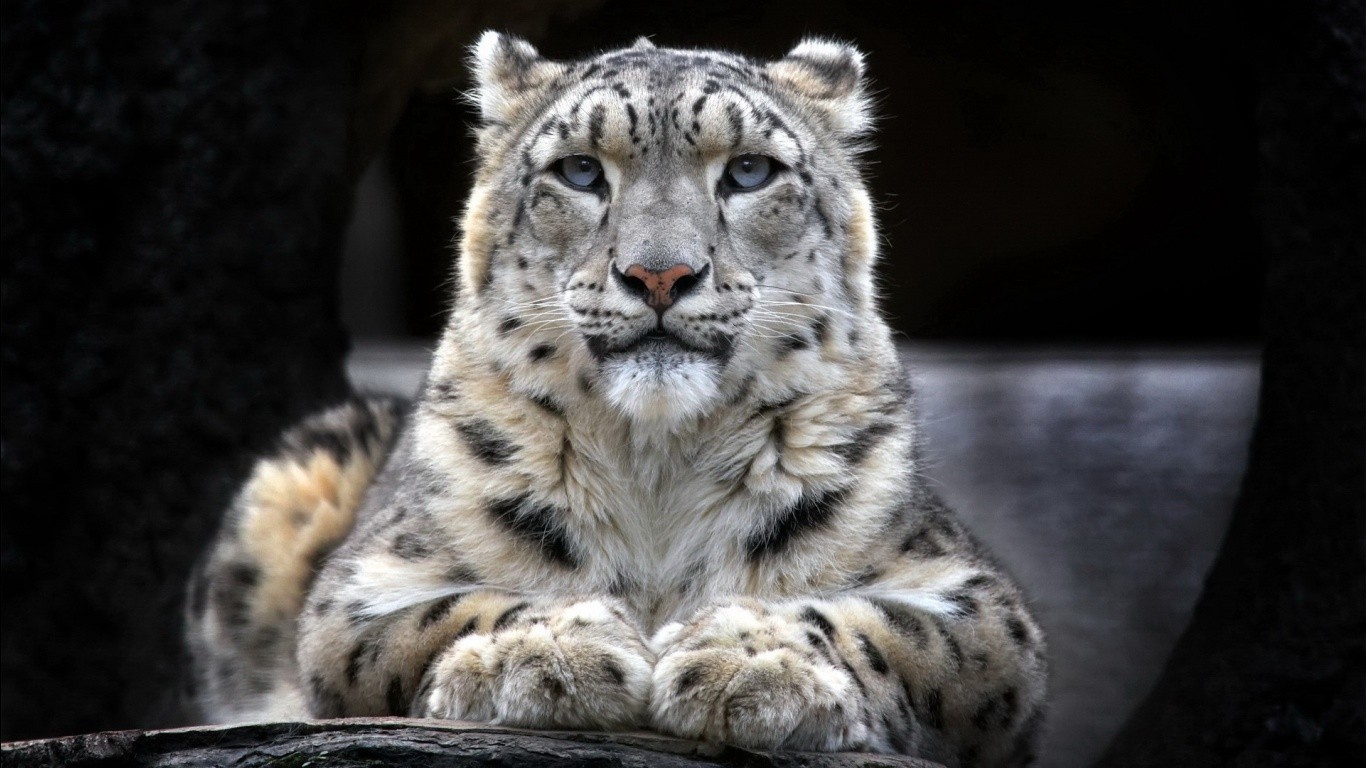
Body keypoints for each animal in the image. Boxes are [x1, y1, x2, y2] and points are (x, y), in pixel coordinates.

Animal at [185, 31, 1048, 767]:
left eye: (749, 171)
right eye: (579, 171)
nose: (659, 275)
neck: (658, 464)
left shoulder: (976, 599)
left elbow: (887, 626)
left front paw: (746, 659)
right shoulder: (363, 586)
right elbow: (444, 611)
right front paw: (545, 651)